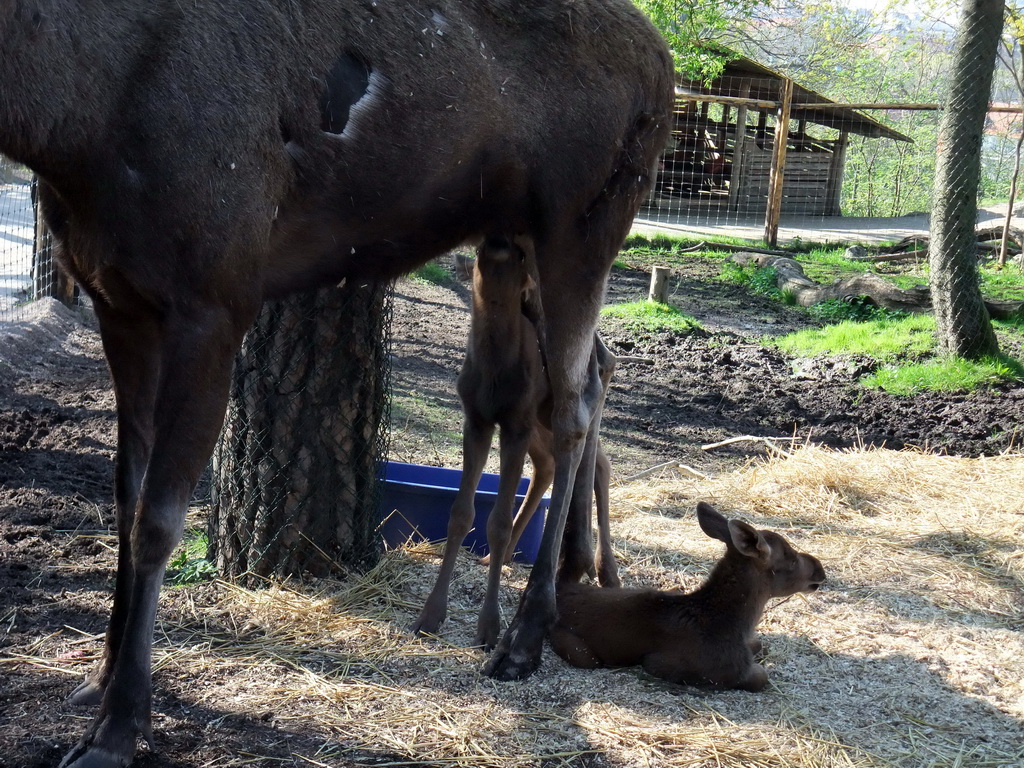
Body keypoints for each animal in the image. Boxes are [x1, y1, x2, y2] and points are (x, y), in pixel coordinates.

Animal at [0, 1, 671, 768]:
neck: (70, 122)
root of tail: (666, 75)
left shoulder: (213, 301)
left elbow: (159, 519)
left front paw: (119, 724)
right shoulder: (119, 301)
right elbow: (125, 498)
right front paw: (101, 681)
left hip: (583, 229)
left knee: (574, 408)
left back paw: (525, 637)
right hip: (529, 239)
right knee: (593, 376)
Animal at [552, 501, 823, 696]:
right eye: (790, 557)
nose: (819, 569)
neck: (736, 624)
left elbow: (760, 645)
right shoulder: (673, 665)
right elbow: (760, 677)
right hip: (583, 654)